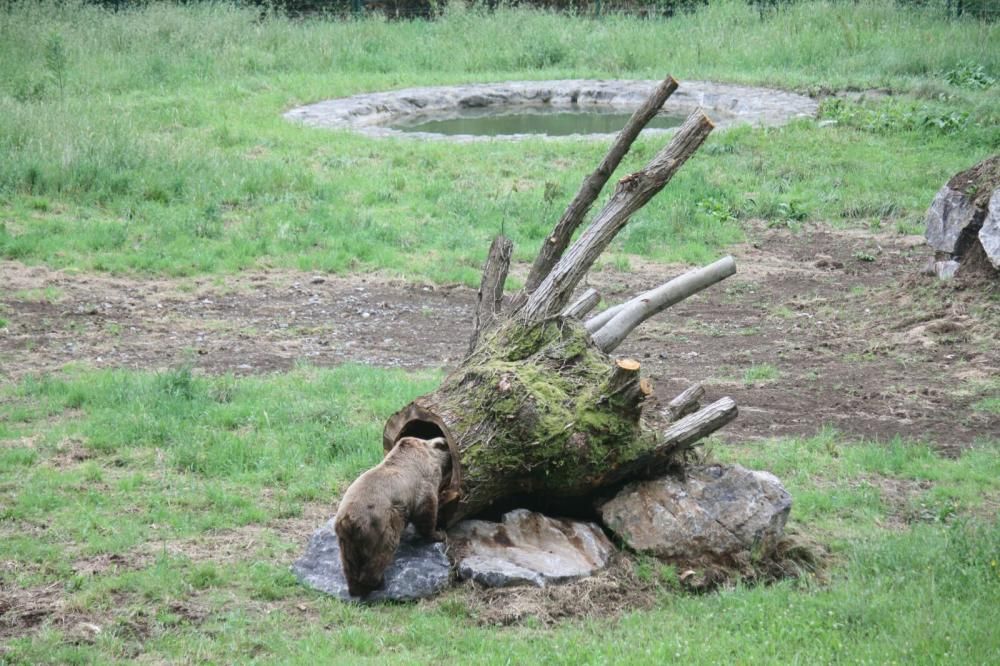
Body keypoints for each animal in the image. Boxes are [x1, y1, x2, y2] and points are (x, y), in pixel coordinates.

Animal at [334, 434, 452, 592]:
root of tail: (349, 520)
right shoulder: (423, 484)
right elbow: (426, 511)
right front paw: (438, 534)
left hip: (346, 540)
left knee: (349, 563)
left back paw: (355, 587)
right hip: (381, 526)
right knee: (382, 552)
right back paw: (377, 582)